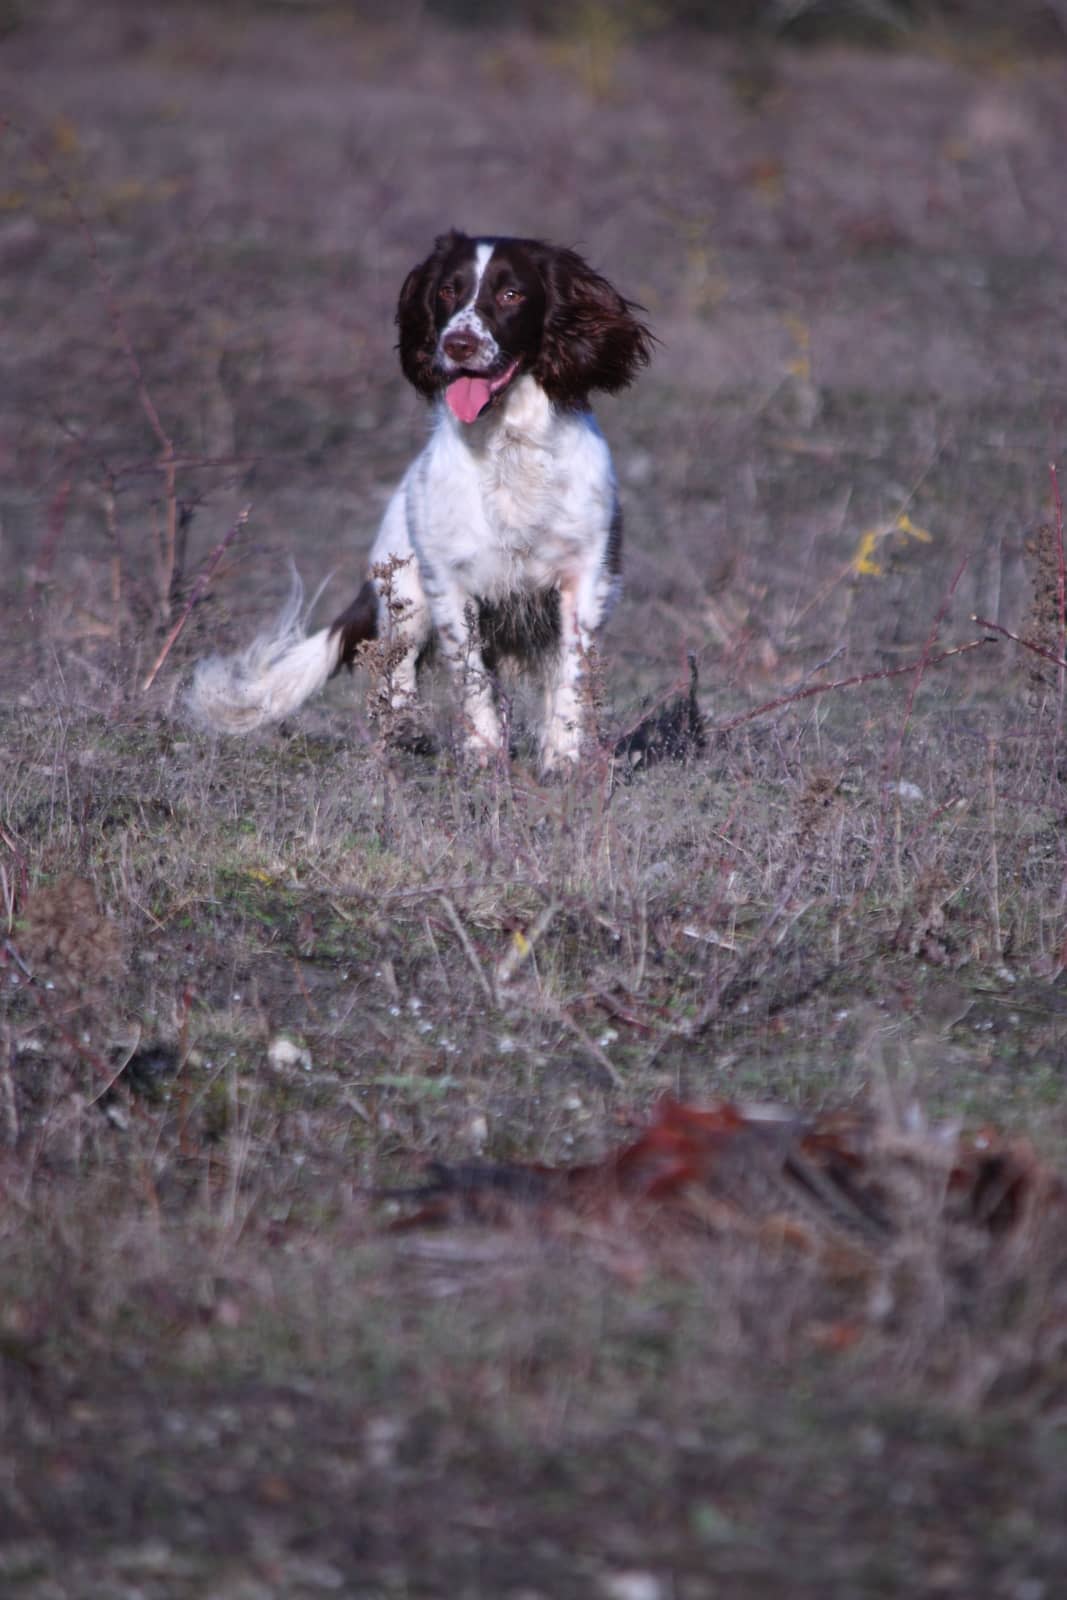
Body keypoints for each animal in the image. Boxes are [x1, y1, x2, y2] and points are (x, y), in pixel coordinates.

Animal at [188, 228, 655, 771]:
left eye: (511, 293)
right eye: (448, 291)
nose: (457, 343)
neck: (509, 445)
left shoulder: (586, 575)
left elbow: (571, 677)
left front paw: (564, 758)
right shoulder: (449, 582)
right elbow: (472, 681)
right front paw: (483, 757)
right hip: (405, 593)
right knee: (401, 667)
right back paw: (407, 730)